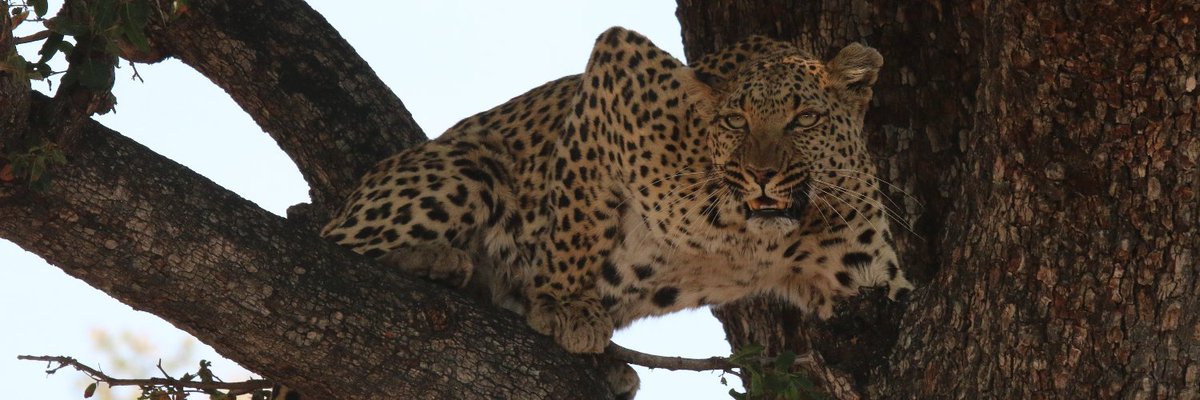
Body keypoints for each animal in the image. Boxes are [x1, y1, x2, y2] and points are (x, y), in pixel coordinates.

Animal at [318, 27, 913, 398]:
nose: (762, 174)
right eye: (736, 121)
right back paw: (442, 263)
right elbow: (574, 220)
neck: (759, 237)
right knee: (331, 241)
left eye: (804, 119)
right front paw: (562, 306)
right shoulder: (614, 65)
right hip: (469, 168)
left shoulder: (869, 270)